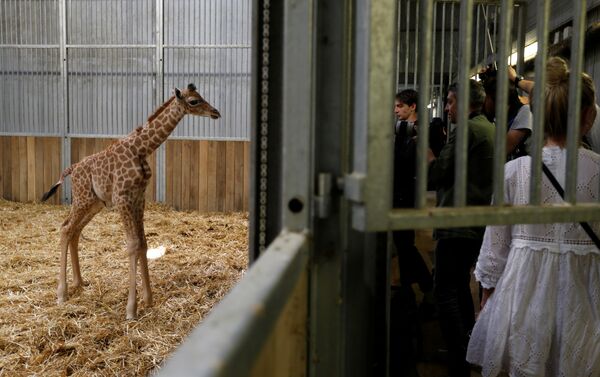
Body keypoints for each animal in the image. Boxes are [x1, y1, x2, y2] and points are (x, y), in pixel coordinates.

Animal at [41, 83, 220, 318]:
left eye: (200, 96)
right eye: (193, 101)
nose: (216, 113)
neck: (142, 149)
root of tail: (72, 169)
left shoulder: (138, 198)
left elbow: (143, 243)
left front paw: (148, 299)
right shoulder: (123, 198)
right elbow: (133, 245)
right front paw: (131, 309)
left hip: (94, 204)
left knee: (74, 231)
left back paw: (79, 284)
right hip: (82, 200)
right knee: (65, 229)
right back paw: (62, 294)